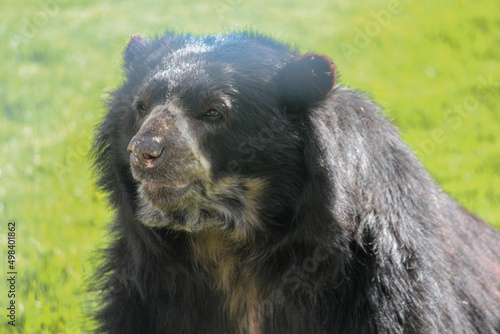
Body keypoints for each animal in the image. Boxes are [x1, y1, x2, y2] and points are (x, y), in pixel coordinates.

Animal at [92, 32, 500, 334]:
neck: (227, 242)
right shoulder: (145, 293)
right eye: (141, 106)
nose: (145, 151)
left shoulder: (380, 289)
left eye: (214, 112)